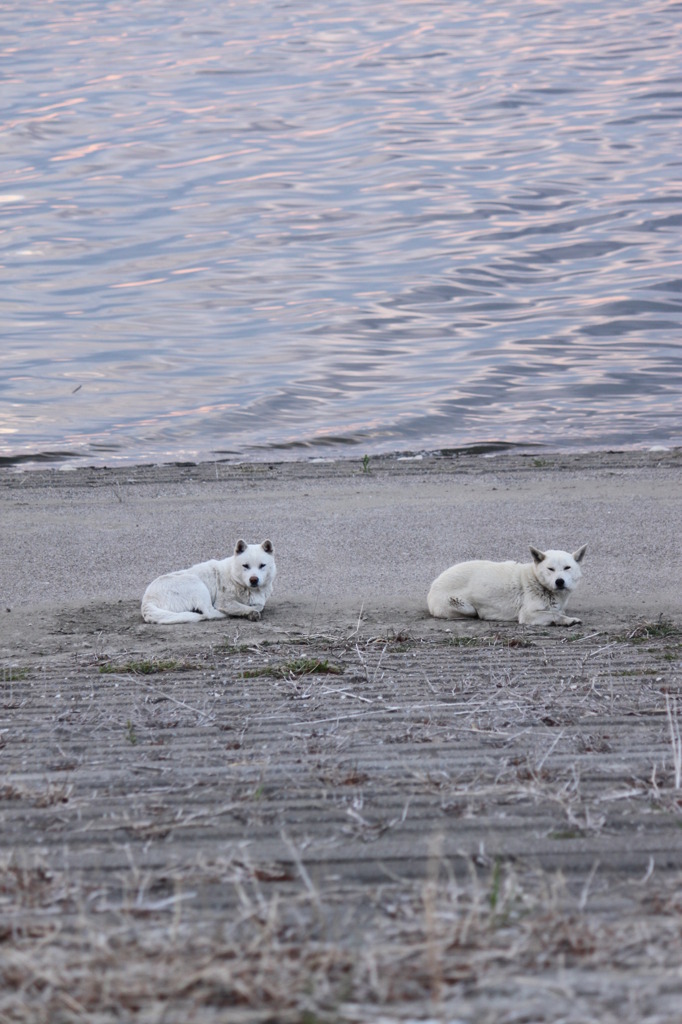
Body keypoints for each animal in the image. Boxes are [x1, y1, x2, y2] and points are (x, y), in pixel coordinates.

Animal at [139, 536, 274, 622]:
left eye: (262, 565)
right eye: (245, 566)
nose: (254, 579)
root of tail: (147, 601)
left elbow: (258, 605)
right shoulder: (223, 602)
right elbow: (252, 607)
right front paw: (250, 613)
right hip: (197, 584)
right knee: (209, 613)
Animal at [425, 544, 585, 622]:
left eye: (567, 568)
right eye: (550, 569)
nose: (559, 581)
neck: (538, 582)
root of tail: (433, 585)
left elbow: (557, 612)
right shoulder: (527, 615)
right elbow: (556, 615)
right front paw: (569, 621)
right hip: (465, 607)